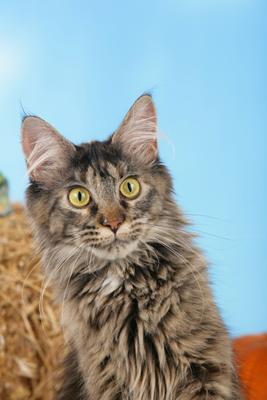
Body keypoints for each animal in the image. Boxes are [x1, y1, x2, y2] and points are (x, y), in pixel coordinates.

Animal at [21, 95, 243, 398]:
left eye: (129, 187)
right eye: (79, 196)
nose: (114, 222)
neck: (126, 285)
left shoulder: (205, 373)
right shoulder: (107, 381)